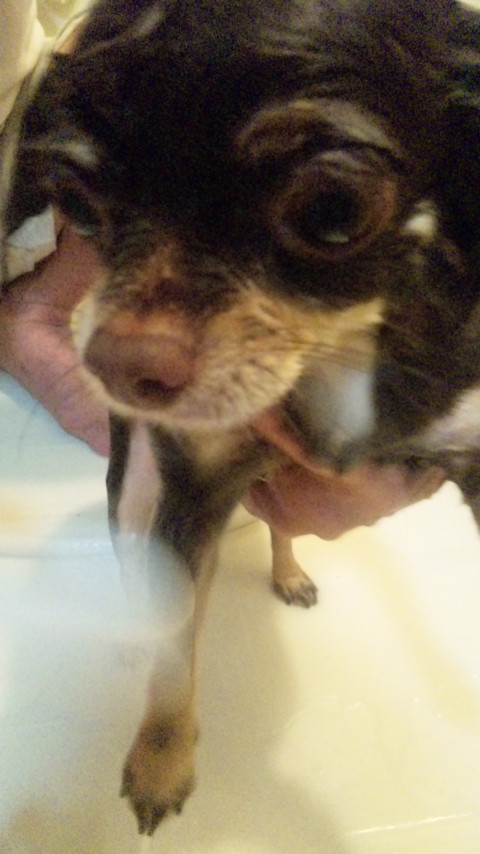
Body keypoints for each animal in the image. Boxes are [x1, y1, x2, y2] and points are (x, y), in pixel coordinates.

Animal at [5, 0, 480, 836]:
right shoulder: (191, 489)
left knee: (277, 529)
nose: (114, 366)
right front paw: (162, 762)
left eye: (333, 210)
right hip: (134, 490)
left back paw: (289, 573)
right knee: (143, 570)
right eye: (82, 209)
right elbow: (173, 653)